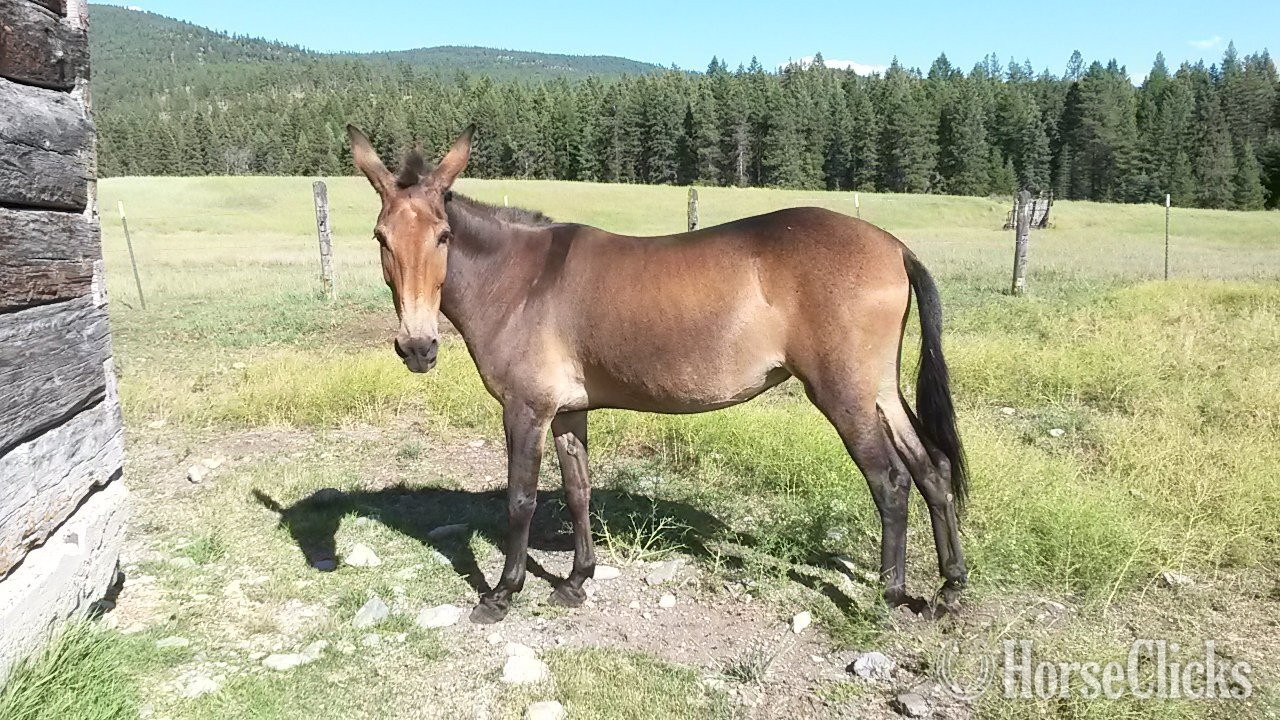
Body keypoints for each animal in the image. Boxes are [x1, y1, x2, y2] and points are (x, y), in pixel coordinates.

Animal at [346, 124, 969, 623]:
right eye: (380, 237)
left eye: (444, 236)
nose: (417, 346)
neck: (520, 280)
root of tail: (892, 246)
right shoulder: (568, 409)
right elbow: (577, 490)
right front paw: (577, 580)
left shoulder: (526, 409)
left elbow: (521, 499)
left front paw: (502, 593)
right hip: (879, 391)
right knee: (933, 468)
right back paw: (949, 589)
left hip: (845, 396)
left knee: (891, 482)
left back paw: (891, 593)